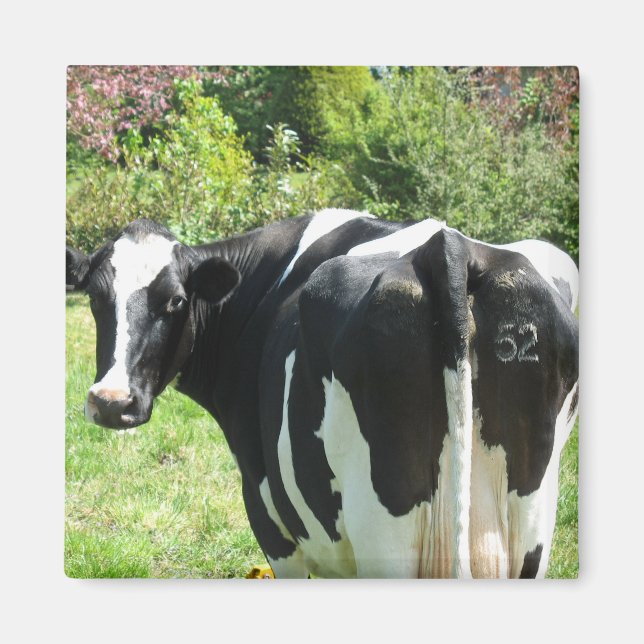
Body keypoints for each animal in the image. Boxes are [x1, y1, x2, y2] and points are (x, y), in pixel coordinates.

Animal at [66, 208, 579, 578]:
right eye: (94, 297)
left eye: (174, 300)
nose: (110, 401)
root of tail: (448, 248)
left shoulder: (270, 516)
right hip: (530, 531)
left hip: (384, 534)